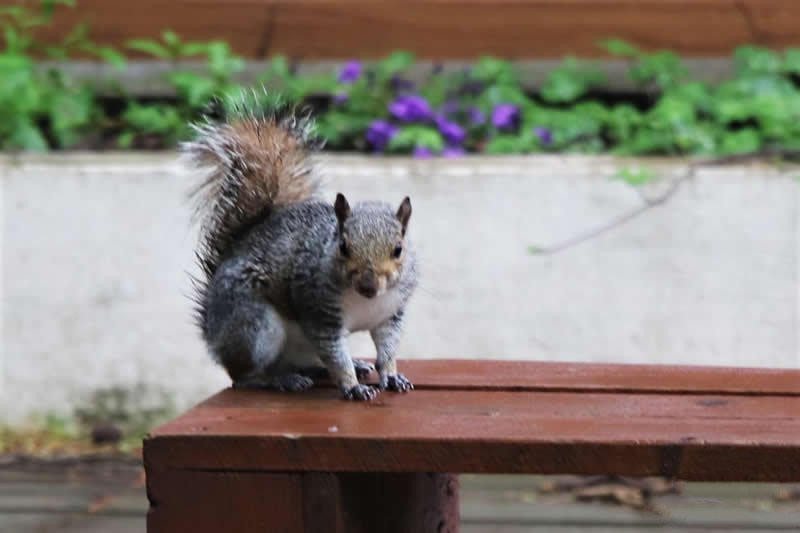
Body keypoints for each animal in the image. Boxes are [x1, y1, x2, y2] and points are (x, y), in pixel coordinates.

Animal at [182, 91, 418, 400]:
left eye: (398, 249)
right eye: (343, 247)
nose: (368, 286)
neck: (368, 302)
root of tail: (213, 332)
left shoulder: (390, 316)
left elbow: (387, 351)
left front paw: (392, 376)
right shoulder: (320, 314)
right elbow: (336, 357)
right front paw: (353, 386)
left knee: (310, 362)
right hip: (255, 327)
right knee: (243, 376)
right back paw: (280, 380)